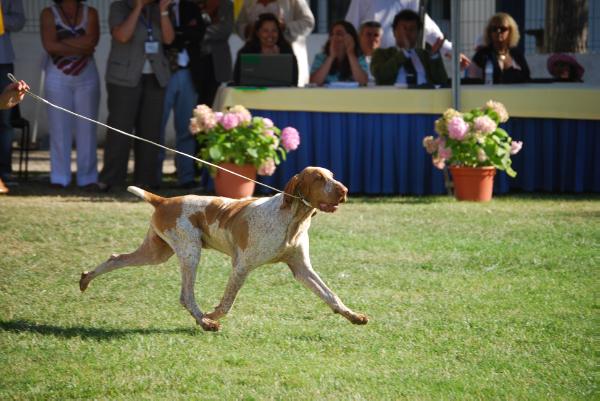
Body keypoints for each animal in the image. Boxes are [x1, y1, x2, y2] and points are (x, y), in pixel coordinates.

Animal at [81, 167, 366, 330]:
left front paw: (353, 316)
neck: (292, 217)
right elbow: (228, 302)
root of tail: (164, 200)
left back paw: (85, 279)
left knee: (115, 258)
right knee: (186, 296)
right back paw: (205, 322)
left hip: (156, 253)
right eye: (318, 178)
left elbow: (330, 295)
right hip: (190, 253)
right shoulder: (241, 266)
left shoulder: (302, 269)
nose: (344, 190)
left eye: (332, 177)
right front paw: (214, 315)